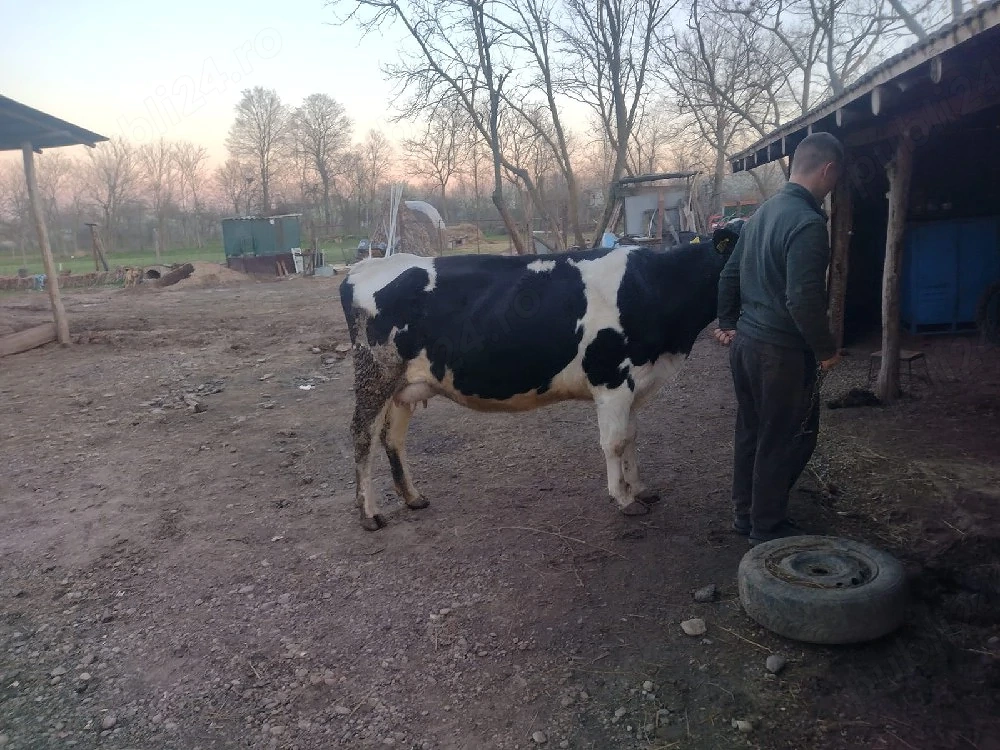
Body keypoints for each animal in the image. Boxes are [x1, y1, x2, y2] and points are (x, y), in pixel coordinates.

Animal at [339, 221, 744, 530]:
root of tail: (362, 269)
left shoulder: (636, 383)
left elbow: (631, 437)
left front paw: (640, 487)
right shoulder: (611, 379)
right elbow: (614, 442)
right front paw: (625, 498)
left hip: (404, 384)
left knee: (393, 438)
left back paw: (413, 497)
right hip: (376, 374)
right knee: (363, 435)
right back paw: (370, 514)